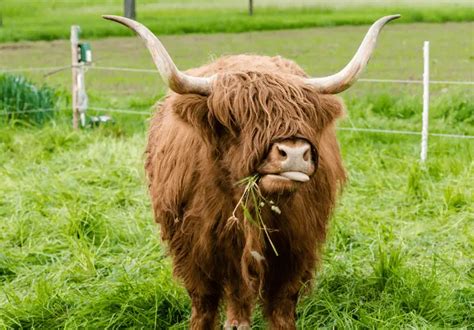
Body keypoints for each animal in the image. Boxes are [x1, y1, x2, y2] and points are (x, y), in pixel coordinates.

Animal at [104, 14, 400, 330]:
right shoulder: (195, 249)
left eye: (304, 114)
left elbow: (282, 307)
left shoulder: (294, 250)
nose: (294, 153)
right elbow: (205, 303)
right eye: (236, 118)